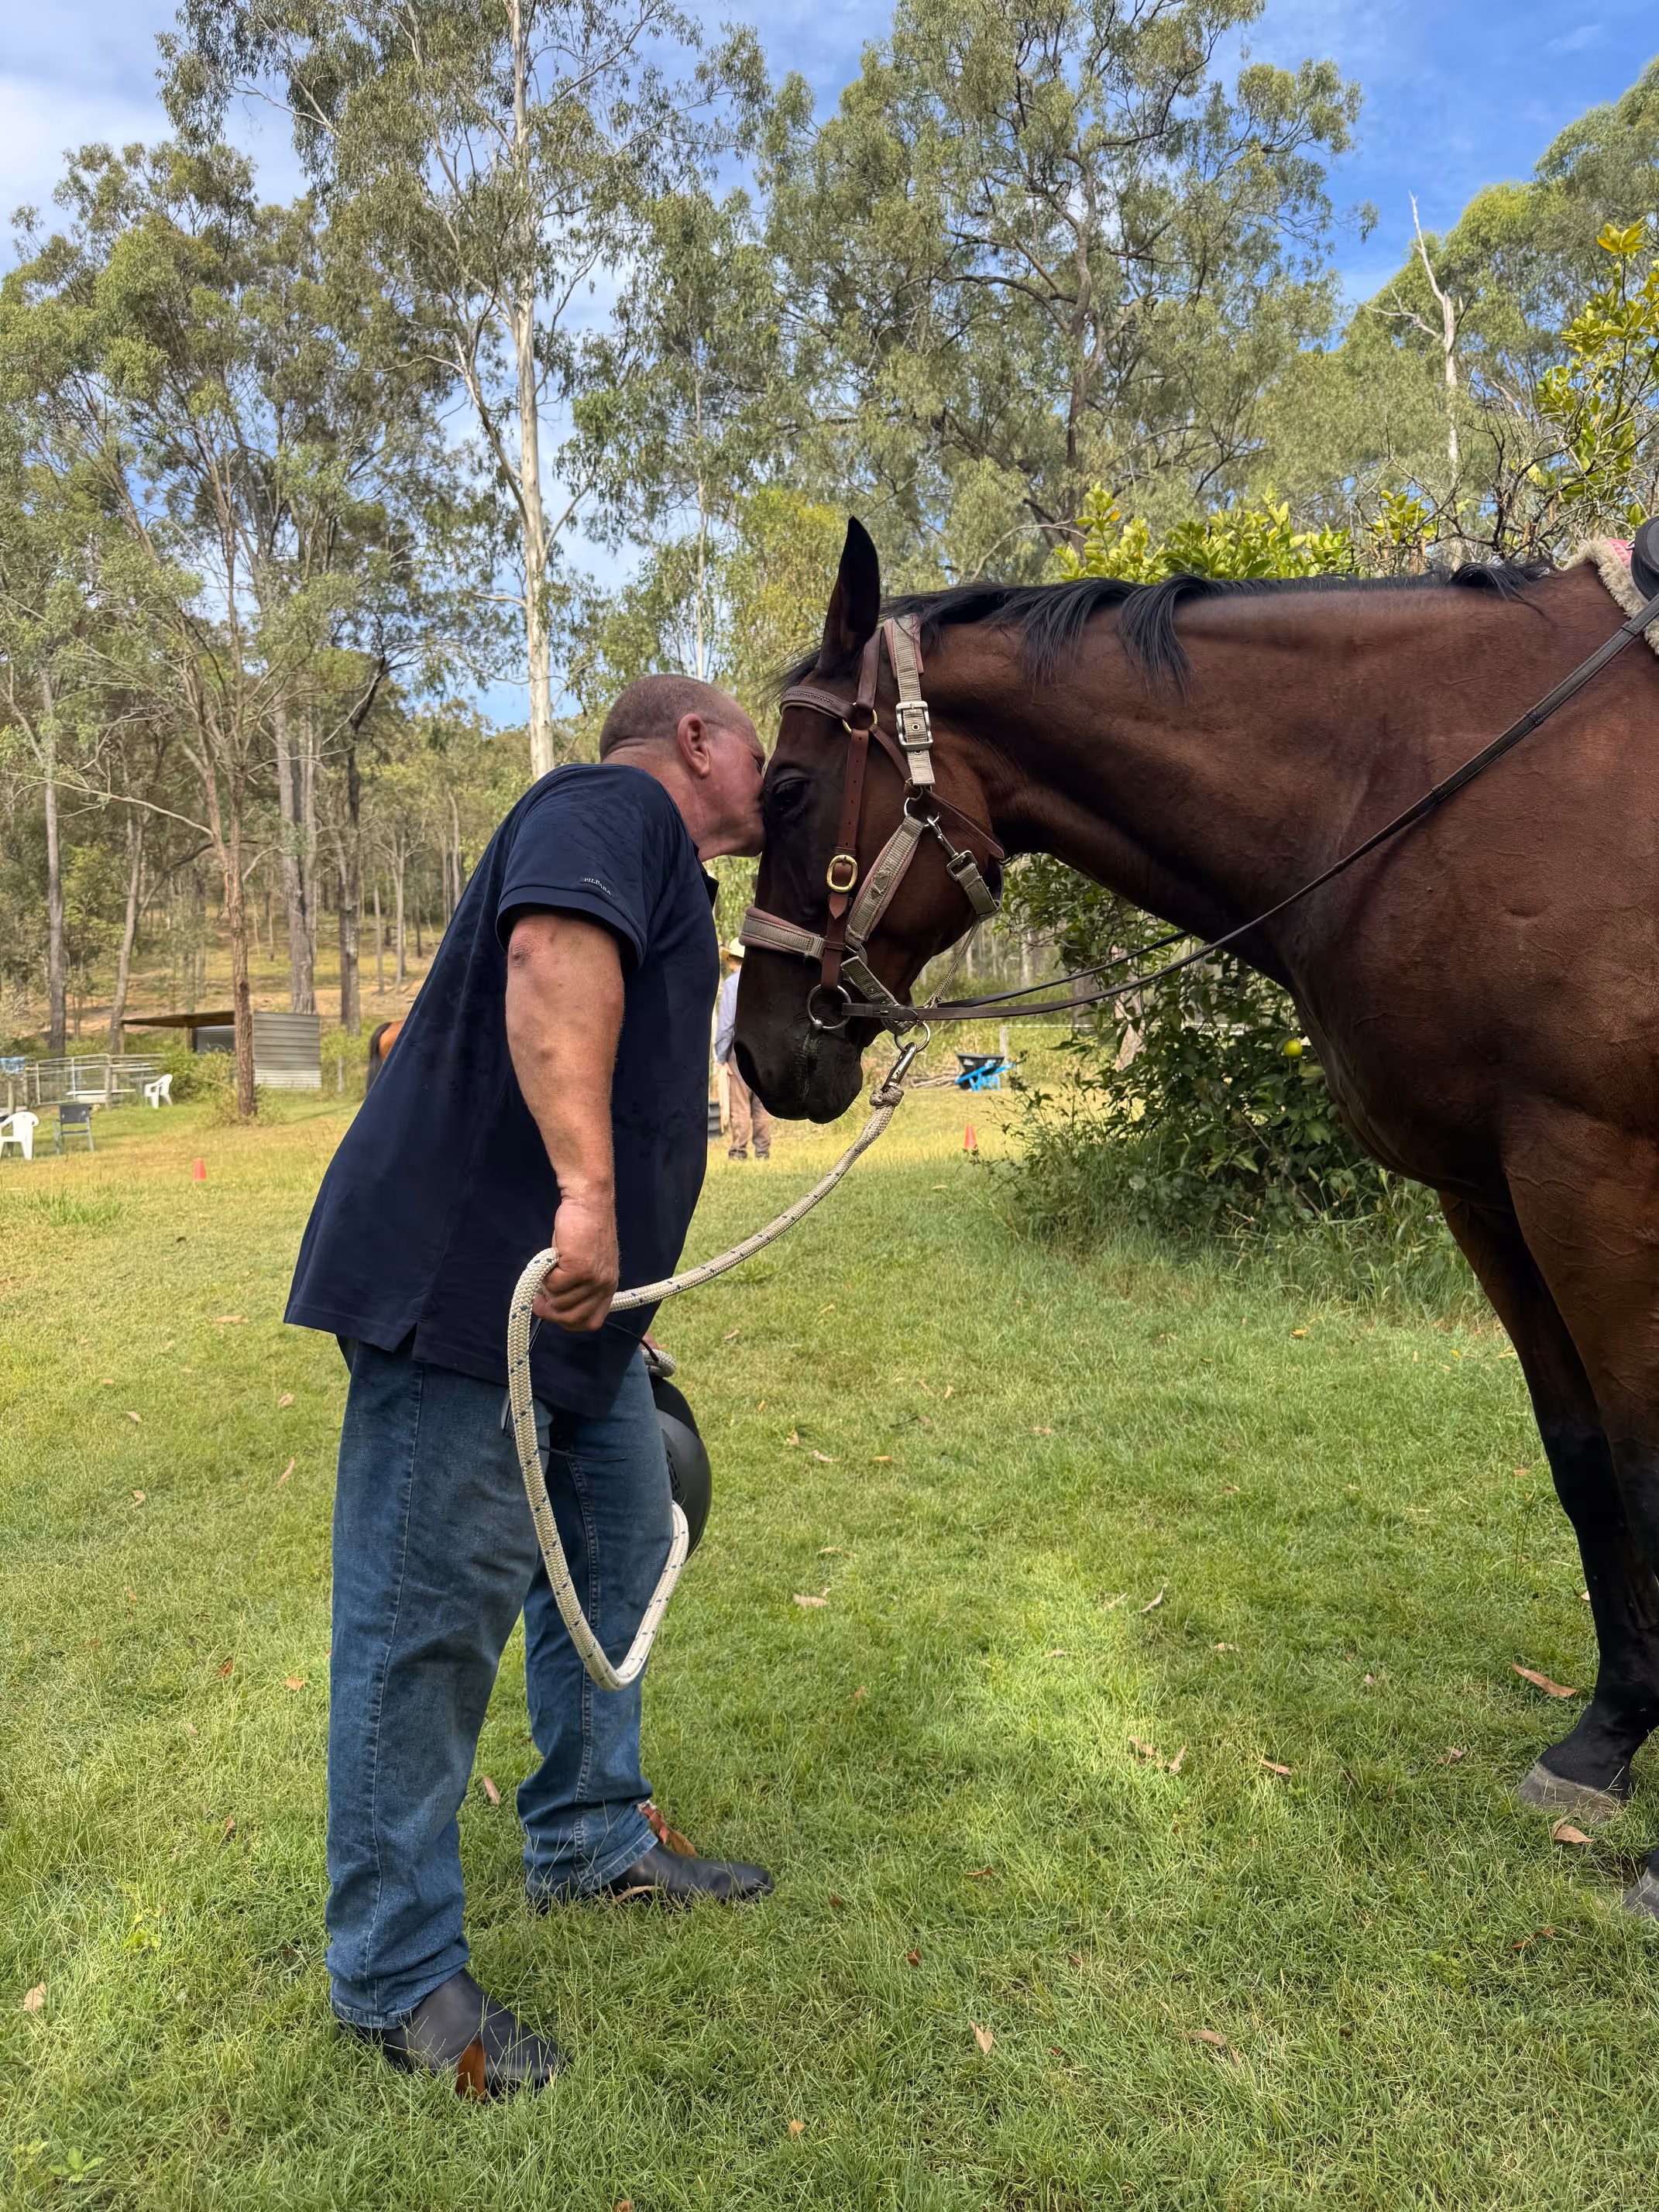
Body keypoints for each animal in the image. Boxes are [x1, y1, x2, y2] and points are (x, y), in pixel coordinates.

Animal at [733, 516, 1659, 1910]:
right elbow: (1585, 1459)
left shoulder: (1591, 1173)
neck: (1422, 778)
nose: (756, 1053)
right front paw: (1604, 1739)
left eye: (788, 790)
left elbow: (1647, 1467)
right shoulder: (1489, 1192)